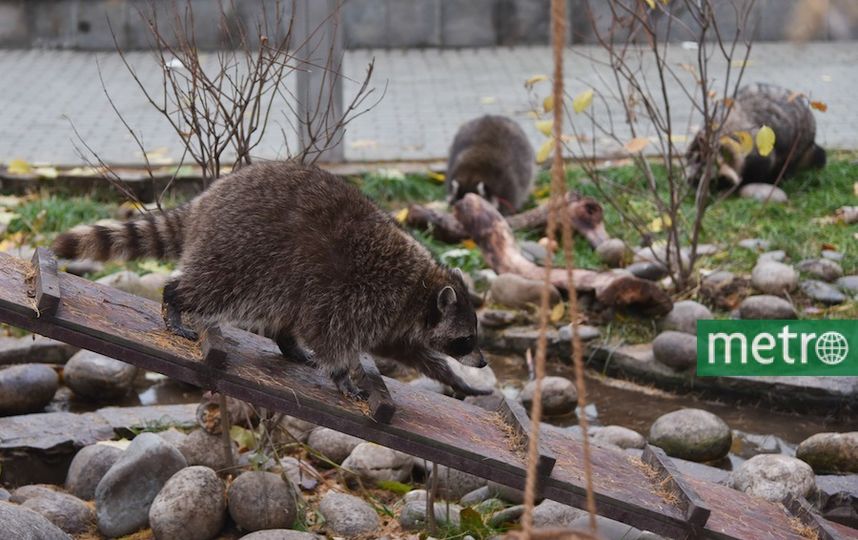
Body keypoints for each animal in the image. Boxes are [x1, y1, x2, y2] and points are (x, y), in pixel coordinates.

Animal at [55, 162, 488, 398]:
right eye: (466, 339)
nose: (483, 361)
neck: (420, 292)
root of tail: (207, 199)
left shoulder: (392, 322)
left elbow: (410, 352)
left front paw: (456, 380)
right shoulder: (363, 294)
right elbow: (330, 335)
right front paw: (342, 375)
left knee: (286, 305)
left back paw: (286, 341)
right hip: (243, 250)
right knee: (216, 287)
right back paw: (175, 300)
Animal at [684, 82, 824, 188]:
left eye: (709, 181)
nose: (690, 185)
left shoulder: (755, 148)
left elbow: (760, 167)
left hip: (800, 142)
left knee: (788, 163)